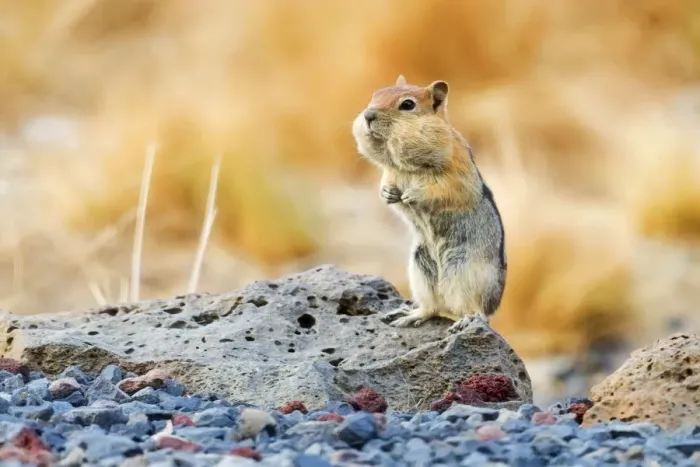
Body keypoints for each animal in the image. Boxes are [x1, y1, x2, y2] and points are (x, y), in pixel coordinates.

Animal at [351, 74, 507, 333]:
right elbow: (386, 184)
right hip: (420, 270)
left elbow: (442, 191)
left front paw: (412, 195)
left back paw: (467, 320)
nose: (368, 115)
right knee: (431, 308)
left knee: (478, 311)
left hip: (465, 273)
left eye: (407, 104)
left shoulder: (455, 176)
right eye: (376, 94)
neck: (405, 166)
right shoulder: (390, 173)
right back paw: (407, 316)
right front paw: (388, 194)